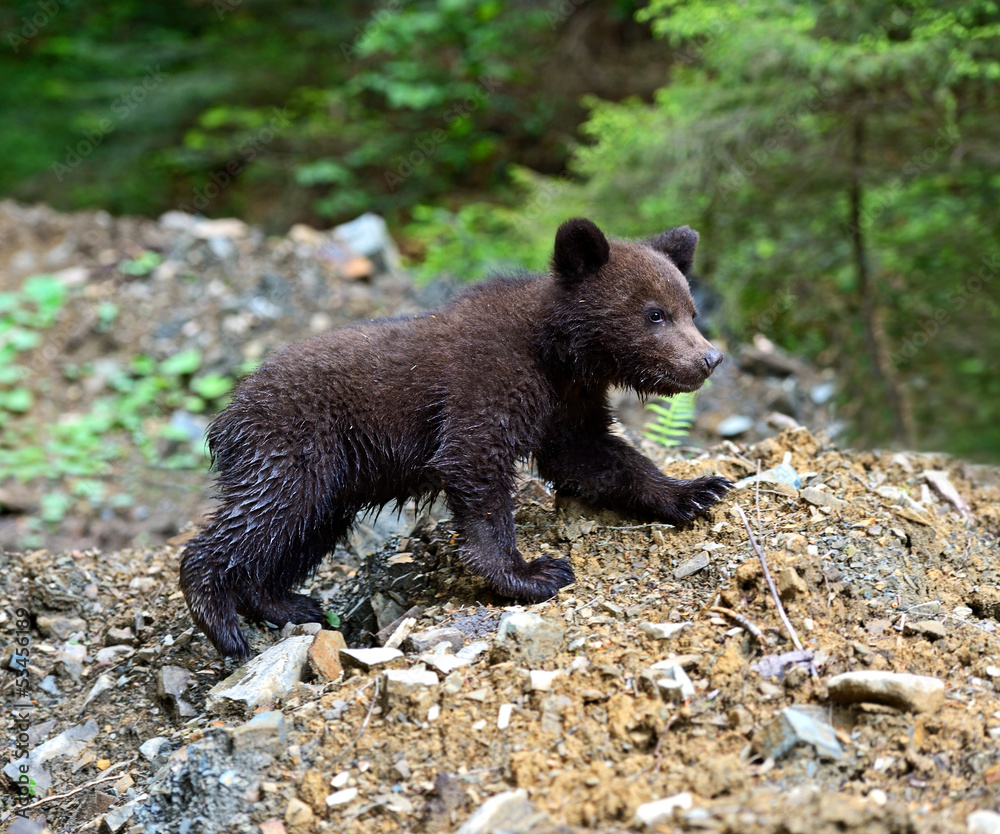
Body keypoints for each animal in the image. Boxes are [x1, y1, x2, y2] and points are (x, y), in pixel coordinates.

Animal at [180, 218, 731, 660]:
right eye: (654, 313)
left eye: (690, 310)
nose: (708, 359)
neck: (558, 354)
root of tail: (228, 411)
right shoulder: (486, 380)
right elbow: (475, 464)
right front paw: (532, 573)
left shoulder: (566, 405)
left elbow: (595, 456)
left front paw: (696, 489)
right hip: (293, 444)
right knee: (265, 514)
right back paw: (222, 623)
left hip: (335, 480)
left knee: (299, 532)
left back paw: (288, 602)